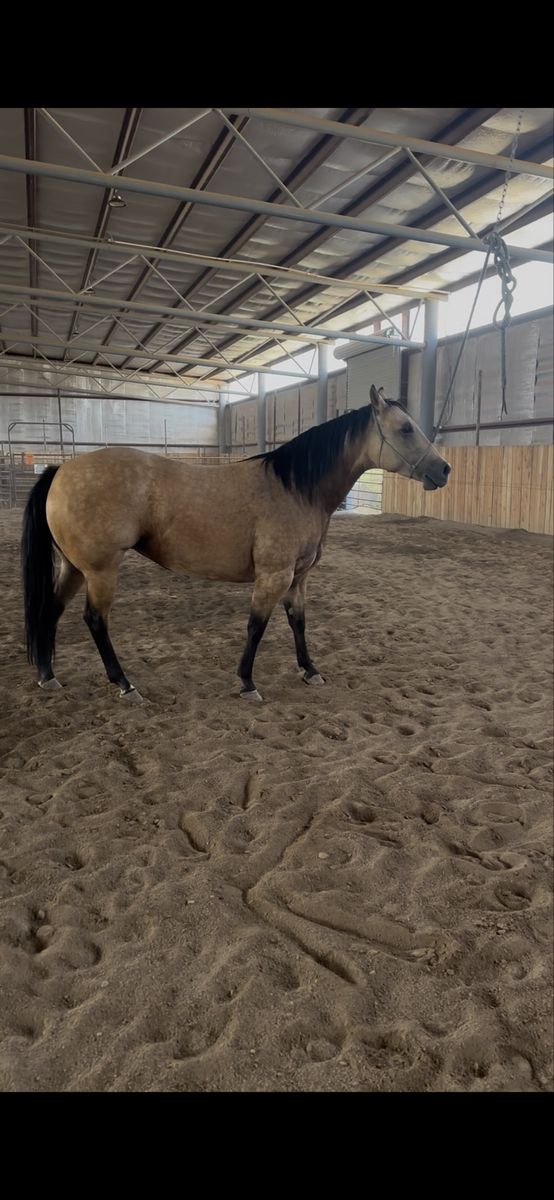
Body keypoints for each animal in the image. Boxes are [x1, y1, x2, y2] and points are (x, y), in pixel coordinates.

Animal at [21, 385, 451, 704]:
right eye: (406, 428)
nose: (444, 469)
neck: (295, 488)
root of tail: (62, 469)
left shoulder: (298, 578)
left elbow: (298, 622)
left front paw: (309, 670)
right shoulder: (273, 577)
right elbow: (256, 626)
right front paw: (247, 683)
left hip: (75, 568)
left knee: (51, 610)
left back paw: (47, 675)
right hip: (101, 570)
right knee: (95, 620)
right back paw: (124, 685)